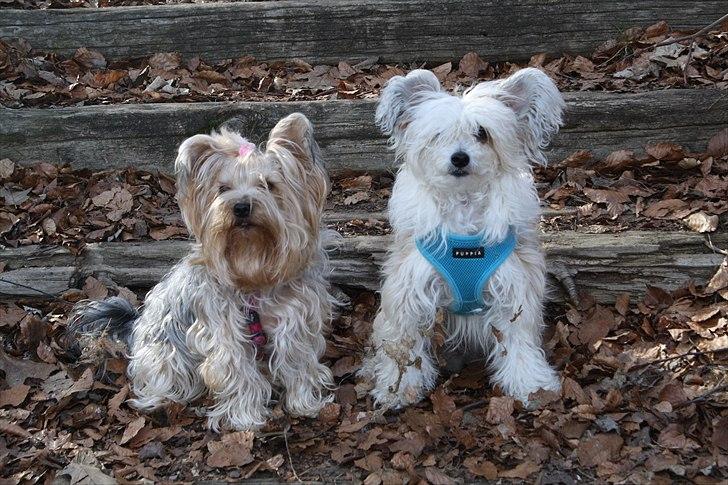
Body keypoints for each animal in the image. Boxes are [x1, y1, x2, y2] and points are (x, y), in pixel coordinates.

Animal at [362, 68, 564, 406]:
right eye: (437, 135)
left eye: (482, 133)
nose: (459, 158)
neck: (464, 206)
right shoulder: (409, 291)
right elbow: (406, 345)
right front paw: (400, 387)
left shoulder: (514, 290)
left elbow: (518, 342)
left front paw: (530, 384)